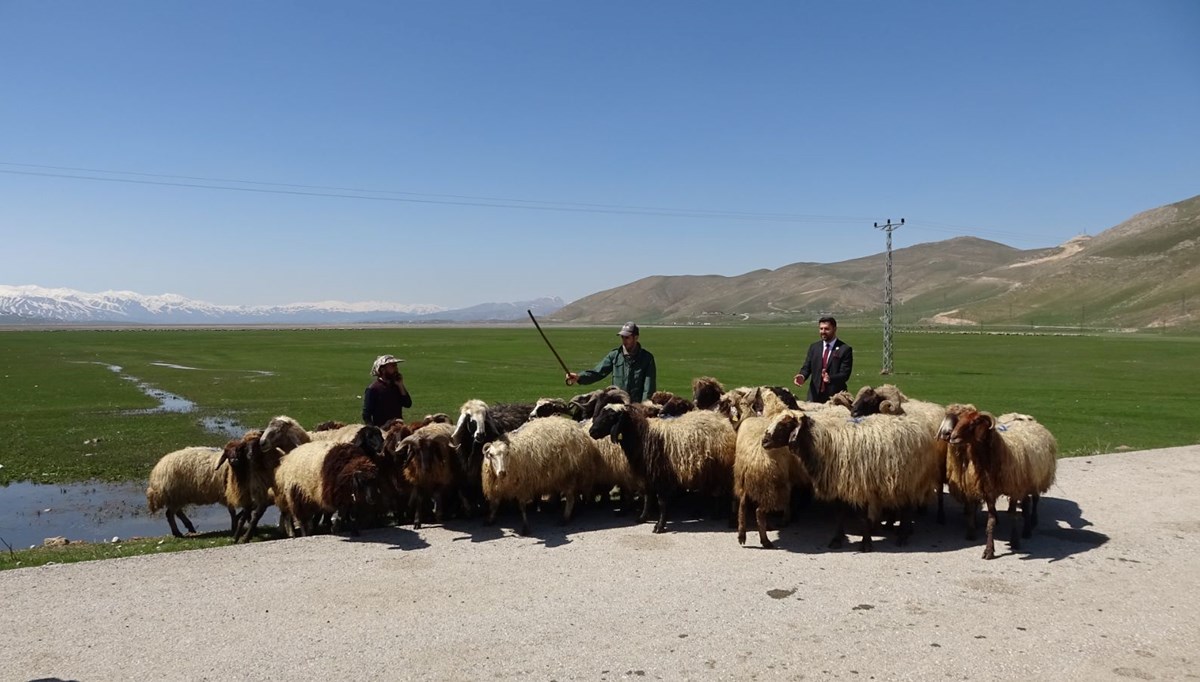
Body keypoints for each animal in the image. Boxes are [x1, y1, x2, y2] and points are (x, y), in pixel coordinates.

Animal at [585, 403, 734, 535]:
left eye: (611, 417)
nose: (591, 432)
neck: (642, 435)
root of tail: (724, 420)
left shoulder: (661, 475)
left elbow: (661, 502)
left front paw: (659, 526)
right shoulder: (648, 475)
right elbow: (648, 497)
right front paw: (642, 517)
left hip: (721, 468)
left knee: (723, 492)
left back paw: (723, 516)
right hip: (709, 470)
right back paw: (712, 513)